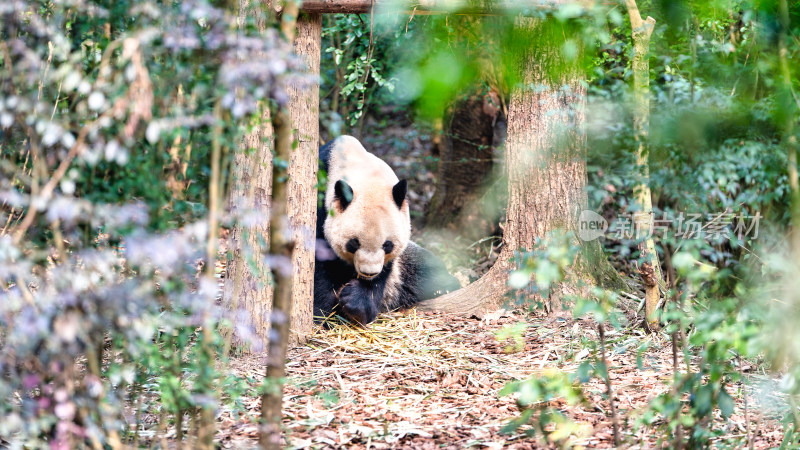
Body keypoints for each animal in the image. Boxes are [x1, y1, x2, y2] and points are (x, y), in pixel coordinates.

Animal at [314, 135, 462, 326]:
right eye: (354, 243)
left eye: (387, 245)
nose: (368, 272)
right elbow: (319, 266)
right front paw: (323, 314)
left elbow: (384, 272)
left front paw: (357, 303)